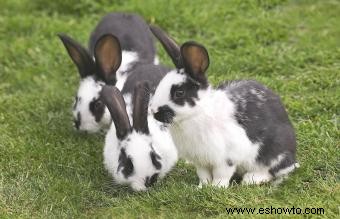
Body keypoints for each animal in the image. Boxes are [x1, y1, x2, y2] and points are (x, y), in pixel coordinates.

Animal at [149, 25, 298, 186]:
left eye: (179, 93)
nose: (154, 111)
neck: (197, 114)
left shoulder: (227, 157)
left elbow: (222, 174)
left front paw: (217, 187)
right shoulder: (200, 161)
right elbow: (203, 174)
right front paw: (202, 186)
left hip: (273, 153)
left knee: (273, 170)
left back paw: (251, 179)